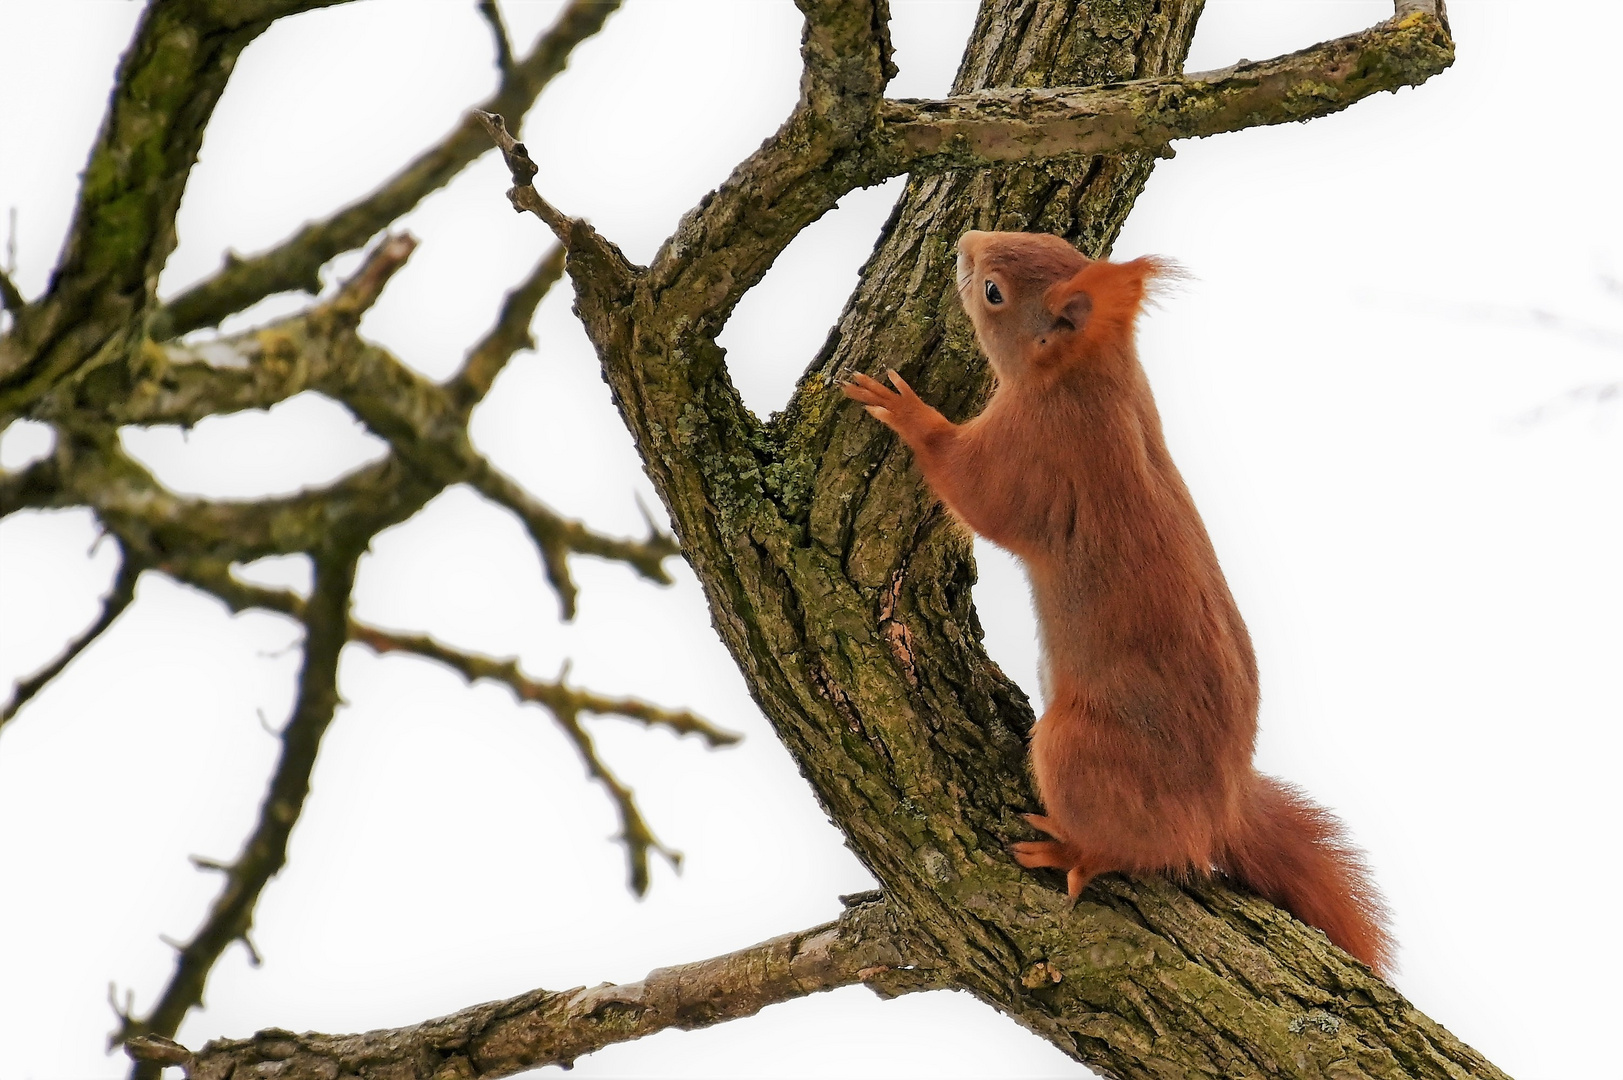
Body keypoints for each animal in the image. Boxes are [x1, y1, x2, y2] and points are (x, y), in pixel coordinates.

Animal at [843, 232, 1389, 974]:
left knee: (1140, 850)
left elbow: (972, 489)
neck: (1094, 379)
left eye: (993, 291)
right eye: (1048, 240)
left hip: (1079, 752)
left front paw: (904, 411)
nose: (967, 241)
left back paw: (1072, 849)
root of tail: (1218, 811)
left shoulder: (1037, 454)